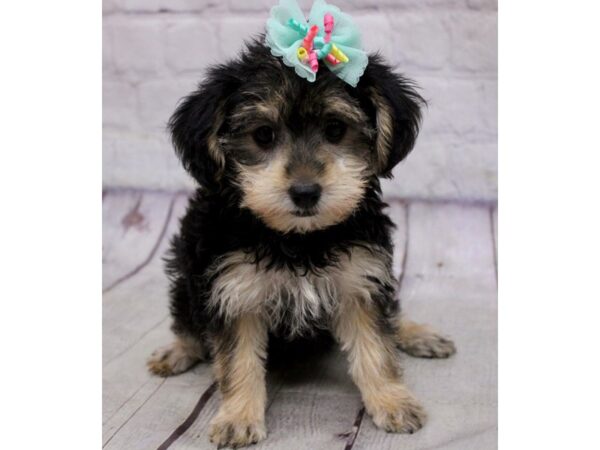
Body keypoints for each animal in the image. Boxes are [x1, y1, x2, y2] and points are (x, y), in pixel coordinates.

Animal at [149, 39, 454, 450]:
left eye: (336, 129)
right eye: (263, 135)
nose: (306, 192)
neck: (299, 239)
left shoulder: (361, 276)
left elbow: (376, 346)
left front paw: (393, 402)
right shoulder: (232, 291)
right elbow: (237, 359)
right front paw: (237, 418)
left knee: (391, 312)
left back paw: (418, 334)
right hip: (187, 275)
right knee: (186, 319)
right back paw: (177, 350)